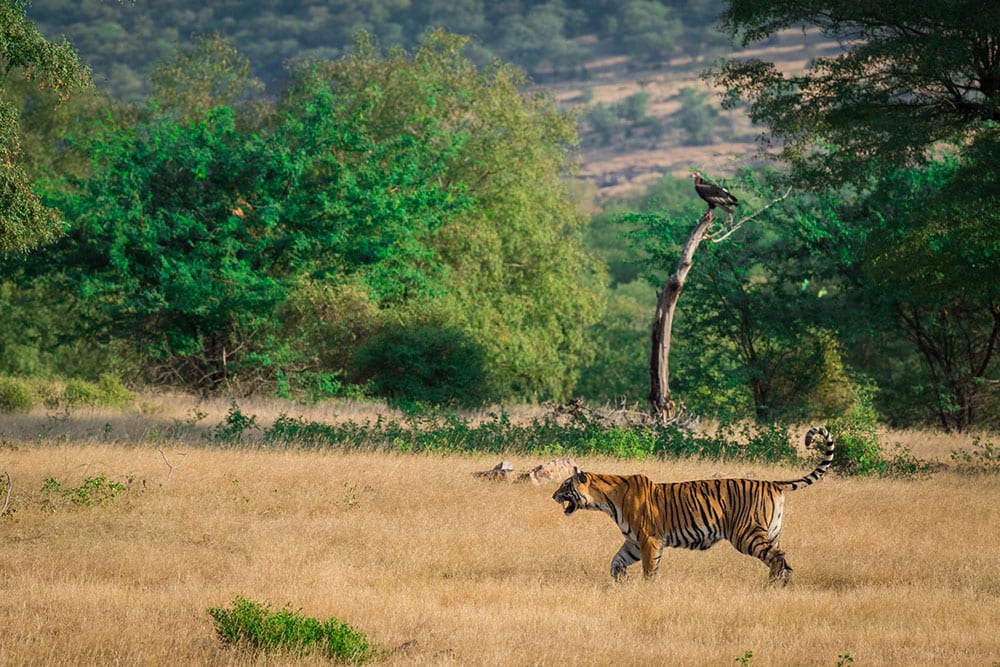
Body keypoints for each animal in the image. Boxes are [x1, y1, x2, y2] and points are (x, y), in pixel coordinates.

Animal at [551, 426, 834, 585]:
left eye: (565, 485)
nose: (553, 496)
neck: (606, 500)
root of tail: (771, 482)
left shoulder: (649, 539)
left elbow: (649, 569)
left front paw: (647, 589)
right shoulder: (633, 542)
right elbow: (616, 562)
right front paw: (621, 580)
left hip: (746, 534)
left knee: (777, 557)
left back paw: (772, 585)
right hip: (771, 532)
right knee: (784, 558)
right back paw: (781, 584)